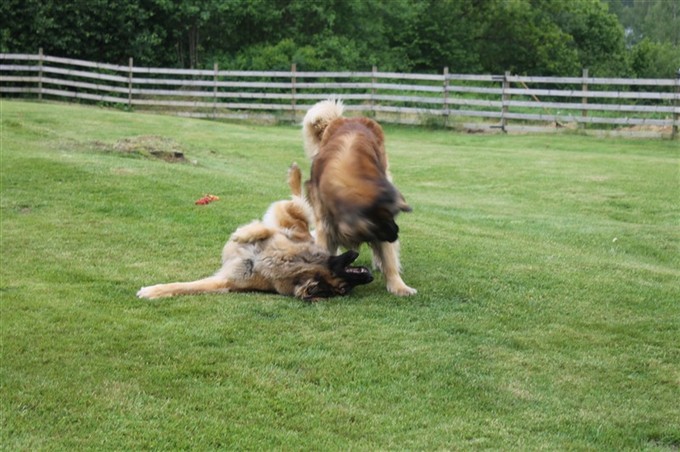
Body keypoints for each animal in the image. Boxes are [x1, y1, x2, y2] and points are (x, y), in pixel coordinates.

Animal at [136, 162, 374, 300]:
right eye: (346, 283)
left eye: (343, 289)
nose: (370, 276)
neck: (294, 264)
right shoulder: (287, 232)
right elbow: (262, 230)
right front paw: (242, 234)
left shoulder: (228, 282)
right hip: (294, 220)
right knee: (297, 201)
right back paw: (295, 173)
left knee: (298, 203)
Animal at [302, 99, 418, 296]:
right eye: (381, 221)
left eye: (392, 217)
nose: (396, 233)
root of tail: (348, 119)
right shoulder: (324, 222)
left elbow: (388, 258)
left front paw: (399, 286)